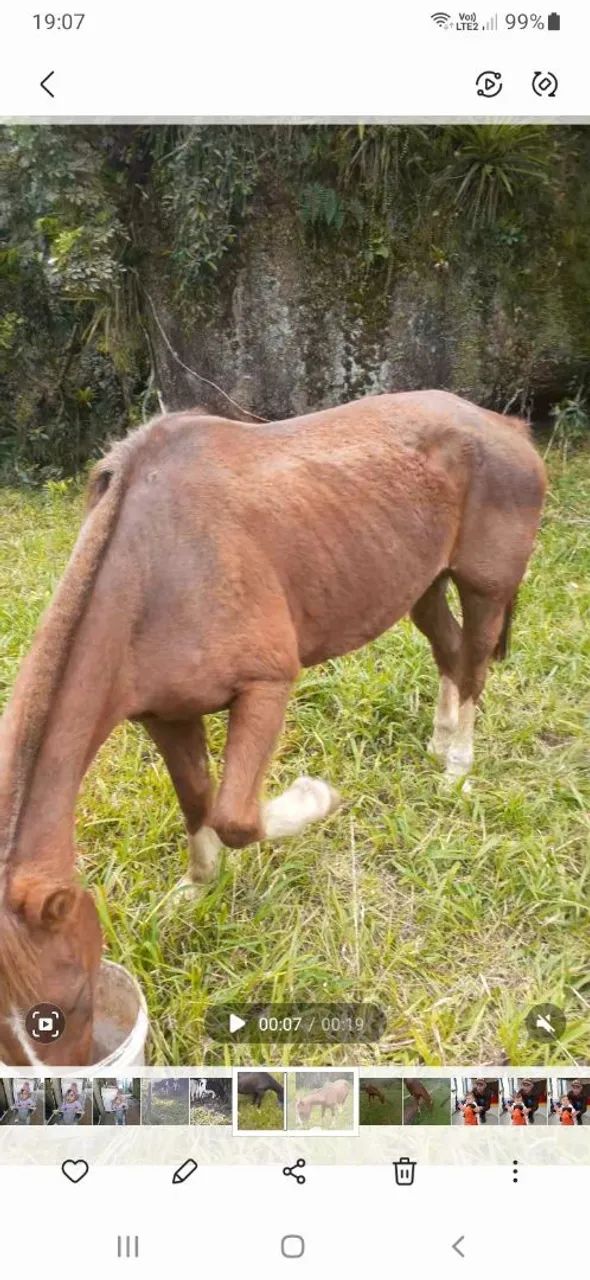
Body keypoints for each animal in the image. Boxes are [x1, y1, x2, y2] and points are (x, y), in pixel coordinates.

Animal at [0, 390, 546, 1065]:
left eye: (75, 1001)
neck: (154, 566)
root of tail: (504, 425)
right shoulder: (165, 716)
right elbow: (198, 803)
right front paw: (197, 889)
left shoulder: (266, 686)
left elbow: (236, 817)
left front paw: (316, 799)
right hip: (421, 582)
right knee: (448, 653)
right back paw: (439, 743)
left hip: (484, 587)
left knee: (472, 666)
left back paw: (457, 770)